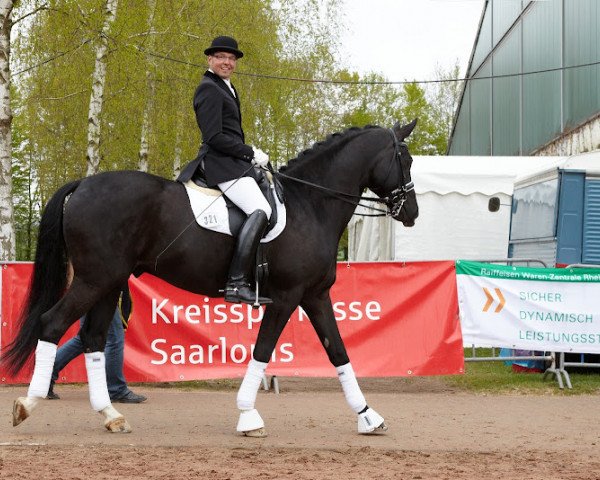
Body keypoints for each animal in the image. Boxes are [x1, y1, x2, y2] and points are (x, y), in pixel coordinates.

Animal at [3, 119, 418, 436]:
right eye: (406, 159)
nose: (411, 212)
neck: (310, 206)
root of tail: (83, 184)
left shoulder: (315, 295)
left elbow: (338, 351)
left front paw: (368, 416)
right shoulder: (286, 297)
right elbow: (263, 351)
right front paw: (248, 416)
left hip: (107, 284)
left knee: (91, 338)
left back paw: (111, 416)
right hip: (94, 280)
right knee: (52, 323)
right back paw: (28, 404)